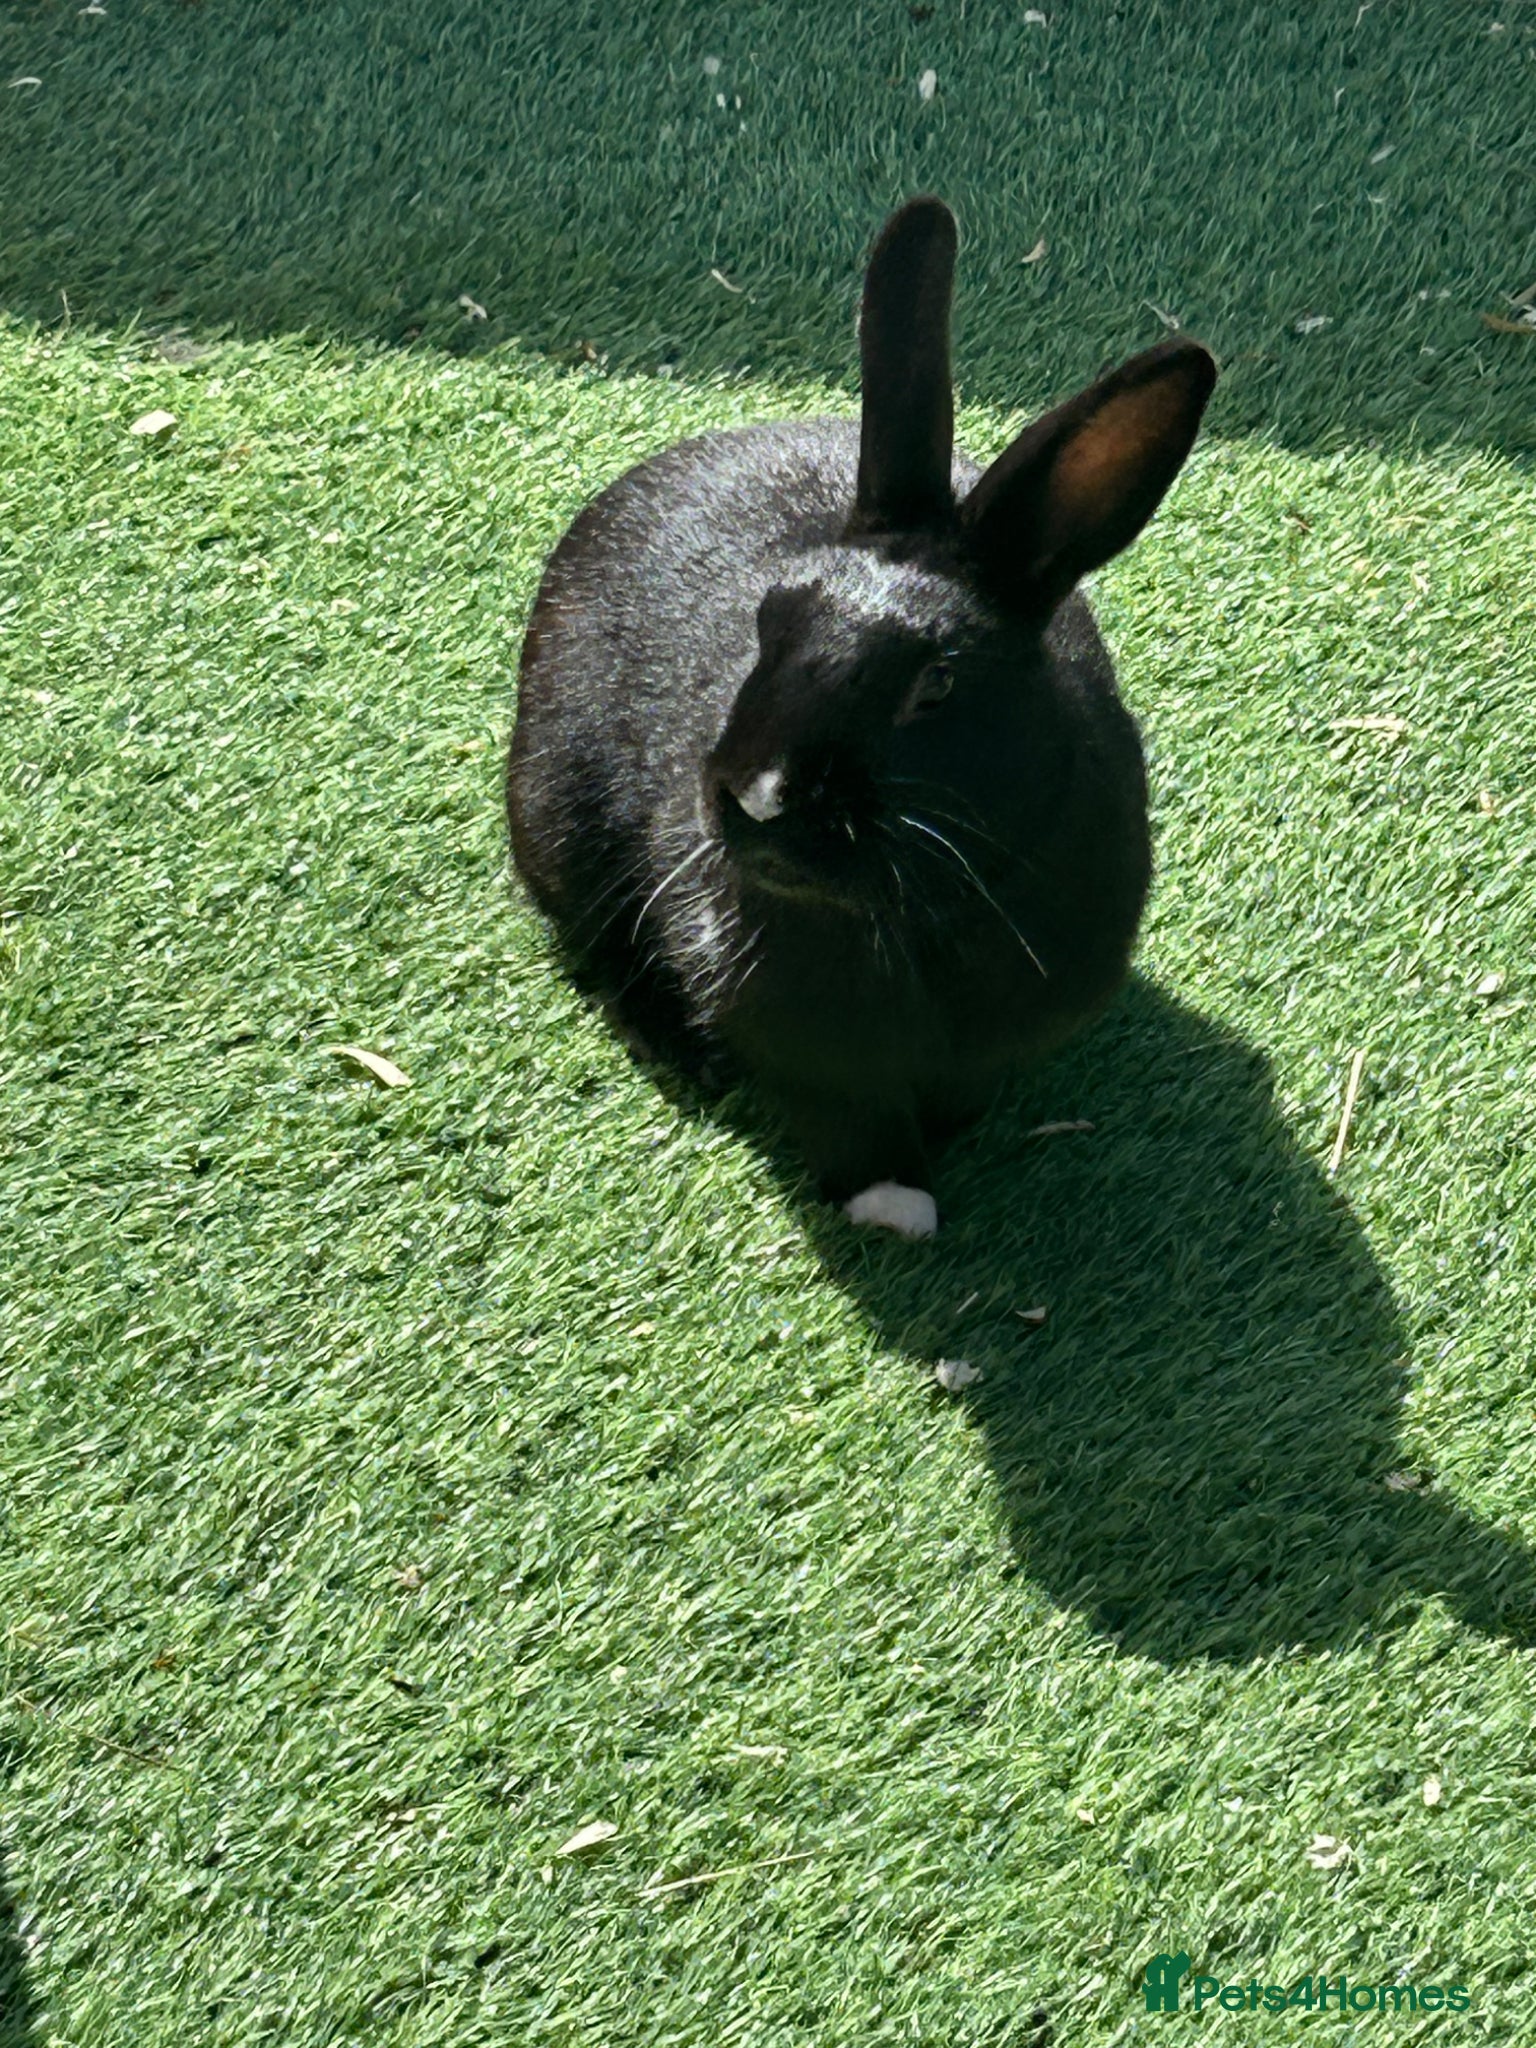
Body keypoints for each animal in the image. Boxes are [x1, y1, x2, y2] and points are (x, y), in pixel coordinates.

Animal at [507, 196, 1215, 1237]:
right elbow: (846, 1121)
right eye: (769, 620)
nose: (758, 798)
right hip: (557, 822)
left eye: (938, 682)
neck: (914, 909)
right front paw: (891, 1206)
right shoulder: (809, 1059)